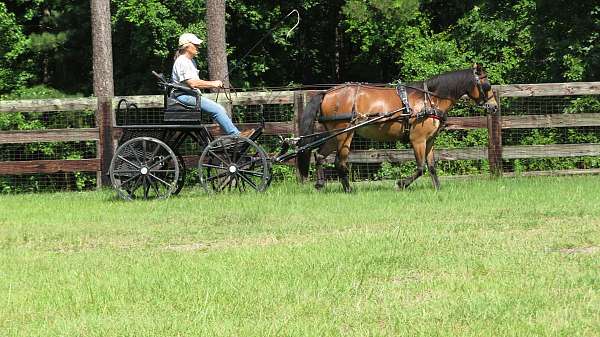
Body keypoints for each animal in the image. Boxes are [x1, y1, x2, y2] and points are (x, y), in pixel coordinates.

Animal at [298, 63, 500, 192]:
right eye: (486, 84)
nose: (495, 107)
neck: (429, 100)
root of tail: (327, 93)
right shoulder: (417, 140)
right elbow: (420, 168)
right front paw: (401, 184)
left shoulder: (430, 141)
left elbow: (432, 166)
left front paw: (438, 188)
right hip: (344, 134)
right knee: (339, 162)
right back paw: (349, 190)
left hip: (334, 134)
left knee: (319, 155)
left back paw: (320, 184)